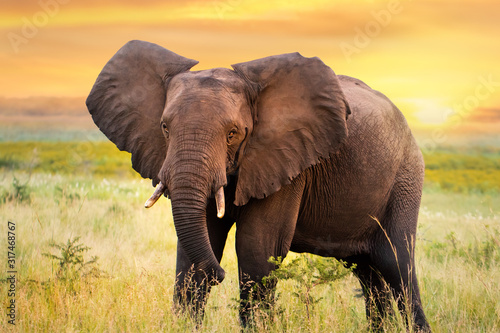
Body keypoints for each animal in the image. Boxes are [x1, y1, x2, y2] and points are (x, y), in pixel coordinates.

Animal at [86, 39, 430, 330]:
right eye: (164, 127)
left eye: (233, 133)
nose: (219, 275)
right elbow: (196, 245)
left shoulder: (288, 160)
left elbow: (256, 248)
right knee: (368, 271)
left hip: (406, 176)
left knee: (396, 262)